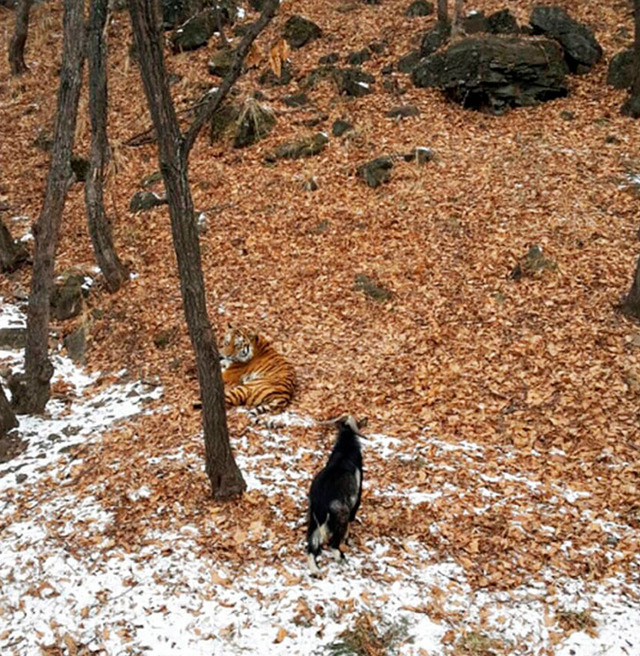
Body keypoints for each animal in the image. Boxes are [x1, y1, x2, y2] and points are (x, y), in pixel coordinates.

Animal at [306, 416, 362, 576]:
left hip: (313, 518)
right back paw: (341, 558)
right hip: (340, 516)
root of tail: (321, 500)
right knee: (332, 544)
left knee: (311, 546)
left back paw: (315, 570)